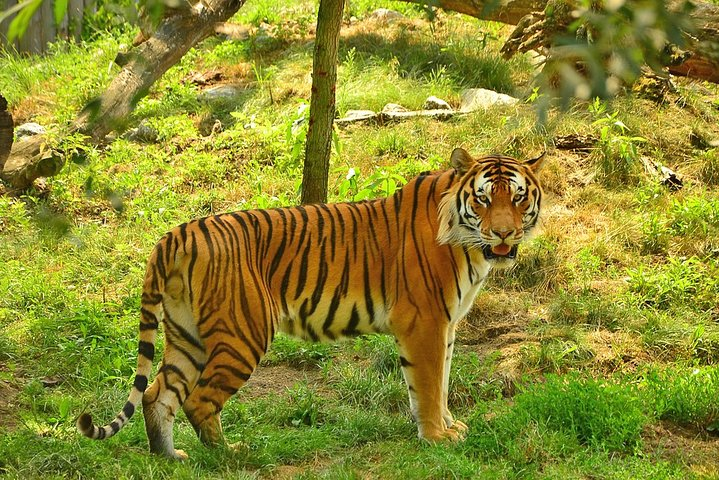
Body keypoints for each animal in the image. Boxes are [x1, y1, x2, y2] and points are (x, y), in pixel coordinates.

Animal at [77, 147, 545, 459]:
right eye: (483, 198)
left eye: (518, 197)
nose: (503, 233)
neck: (470, 246)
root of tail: (175, 234)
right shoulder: (425, 323)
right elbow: (428, 386)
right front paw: (435, 437)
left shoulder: (447, 325)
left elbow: (444, 382)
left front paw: (450, 426)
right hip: (242, 335)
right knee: (197, 400)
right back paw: (230, 454)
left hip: (186, 335)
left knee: (158, 395)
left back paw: (170, 457)